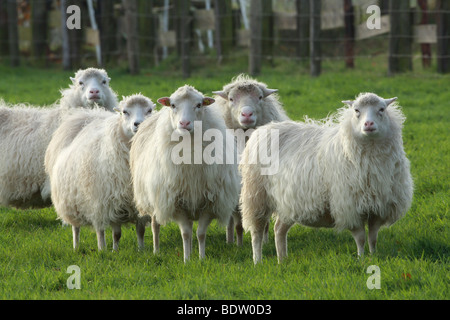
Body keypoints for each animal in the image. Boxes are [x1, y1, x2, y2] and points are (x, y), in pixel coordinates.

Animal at [45, 94, 155, 251]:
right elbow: (115, 233)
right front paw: (111, 251)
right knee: (84, 228)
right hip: (79, 202)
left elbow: (138, 230)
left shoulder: (132, 203)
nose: (138, 124)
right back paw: (85, 247)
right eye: (125, 112)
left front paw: (140, 250)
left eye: (149, 110)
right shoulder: (109, 201)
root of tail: (86, 115)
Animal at [130, 85, 241, 262]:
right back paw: (156, 250)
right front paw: (187, 260)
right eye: (173, 105)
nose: (184, 123)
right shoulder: (177, 203)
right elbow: (186, 234)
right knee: (155, 225)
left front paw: (201, 259)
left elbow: (200, 234)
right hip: (154, 197)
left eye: (199, 104)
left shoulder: (209, 203)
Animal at [210, 74, 288, 245]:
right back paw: (230, 240)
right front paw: (238, 244)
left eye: (259, 97)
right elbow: (238, 222)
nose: (247, 114)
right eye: (231, 99)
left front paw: (264, 240)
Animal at [241, 92, 414, 262]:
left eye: (382, 109)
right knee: (257, 232)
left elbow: (373, 238)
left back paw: (282, 260)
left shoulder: (379, 208)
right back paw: (258, 261)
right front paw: (361, 259)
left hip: (287, 201)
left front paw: (374, 257)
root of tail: (265, 128)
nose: (369, 124)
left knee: (279, 229)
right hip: (257, 195)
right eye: (356, 110)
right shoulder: (349, 207)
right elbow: (360, 238)